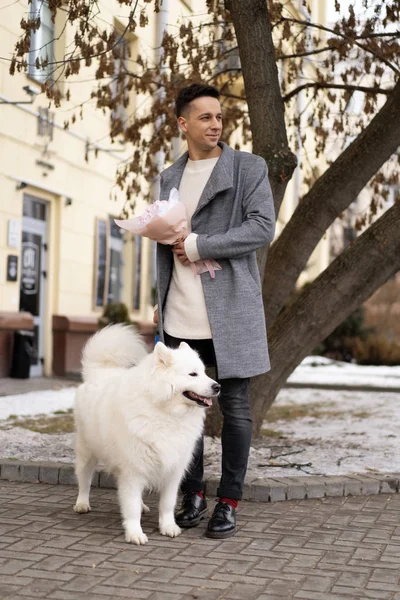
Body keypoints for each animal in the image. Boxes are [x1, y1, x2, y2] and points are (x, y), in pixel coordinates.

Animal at [73, 324, 220, 544]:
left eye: (204, 372)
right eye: (193, 374)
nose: (218, 386)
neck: (165, 412)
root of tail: (100, 371)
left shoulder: (173, 471)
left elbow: (167, 504)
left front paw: (168, 527)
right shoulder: (133, 469)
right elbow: (131, 507)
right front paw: (135, 533)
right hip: (87, 452)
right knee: (84, 479)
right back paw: (82, 503)